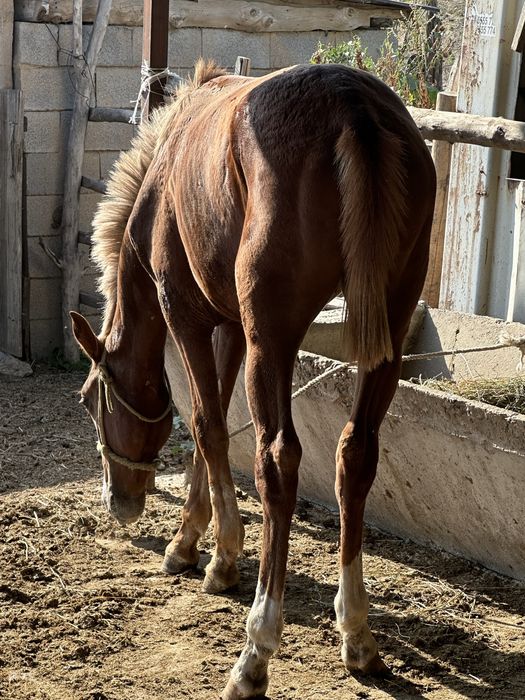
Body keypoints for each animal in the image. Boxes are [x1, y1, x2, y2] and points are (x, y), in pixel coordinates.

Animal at [71, 60, 436, 699]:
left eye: (92, 400)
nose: (119, 502)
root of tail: (350, 102)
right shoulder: (230, 329)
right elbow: (207, 427)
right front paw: (190, 539)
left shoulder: (188, 317)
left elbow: (207, 425)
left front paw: (220, 557)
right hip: (384, 332)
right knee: (355, 455)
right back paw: (356, 633)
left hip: (275, 339)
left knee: (278, 460)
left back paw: (255, 650)